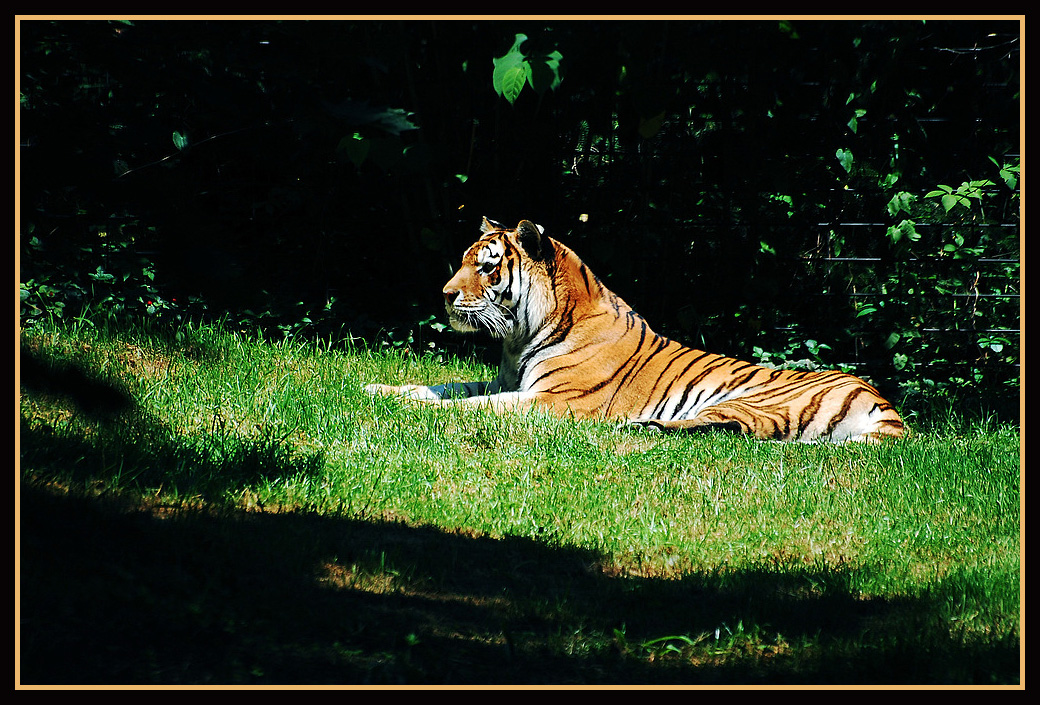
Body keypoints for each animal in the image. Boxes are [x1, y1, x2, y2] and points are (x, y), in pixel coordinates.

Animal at [366, 218, 902, 445]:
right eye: (462, 261)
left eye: (487, 267)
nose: (444, 294)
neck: (519, 338)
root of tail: (885, 403)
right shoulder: (506, 379)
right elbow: (444, 386)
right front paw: (379, 388)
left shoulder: (552, 400)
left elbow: (475, 405)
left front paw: (413, 409)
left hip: (754, 400)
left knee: (737, 429)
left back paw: (638, 425)